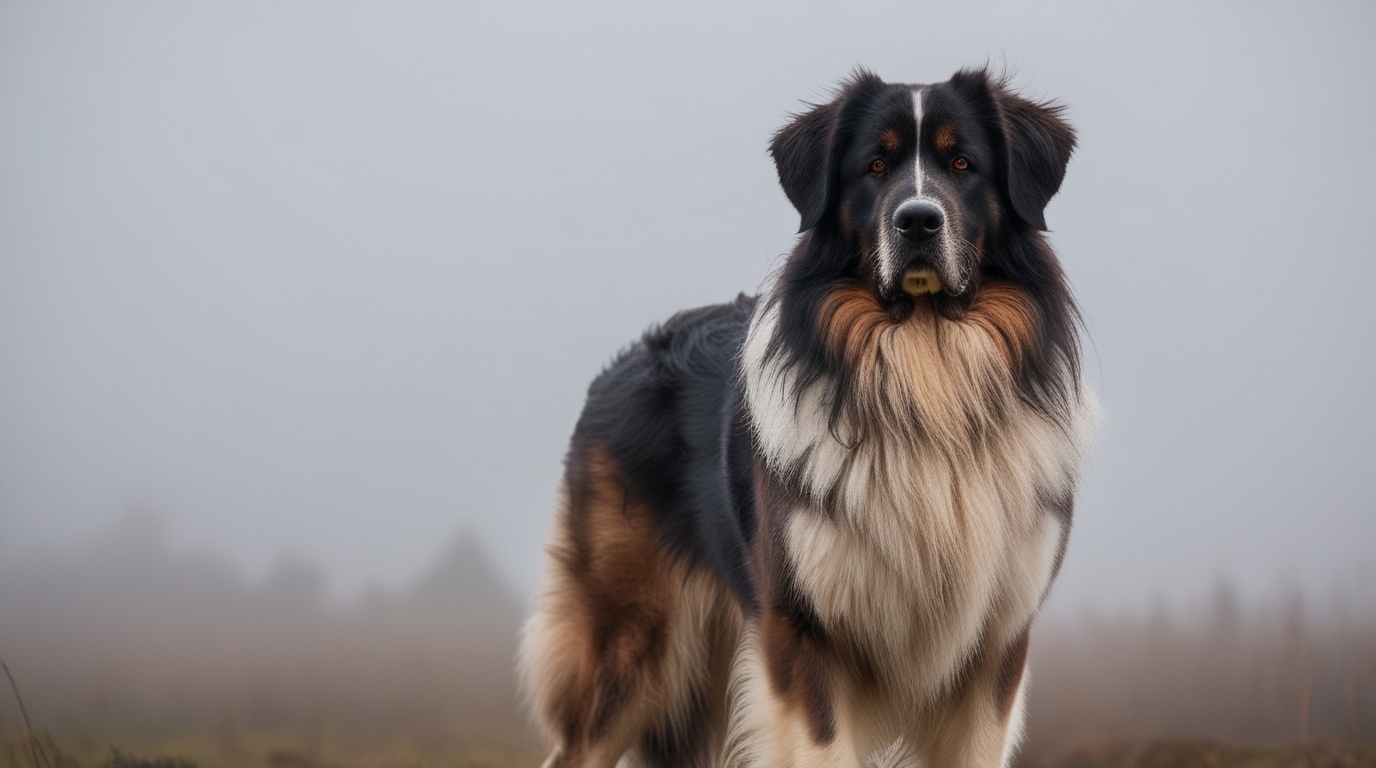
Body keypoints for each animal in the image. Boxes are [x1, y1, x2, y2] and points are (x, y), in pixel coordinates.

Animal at [520, 67, 1100, 768]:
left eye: (963, 163)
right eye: (874, 166)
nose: (918, 220)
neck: (924, 365)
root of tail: (619, 366)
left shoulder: (994, 646)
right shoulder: (805, 634)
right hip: (631, 643)